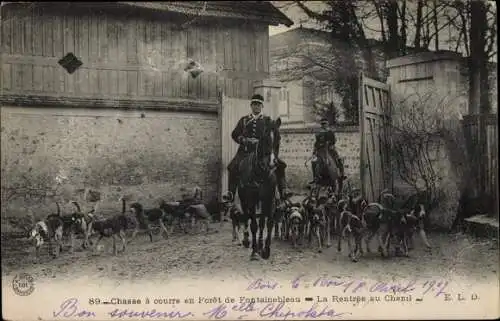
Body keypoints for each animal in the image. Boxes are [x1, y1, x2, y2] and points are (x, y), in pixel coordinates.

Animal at [238, 116, 282, 258]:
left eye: (279, 138)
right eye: (265, 138)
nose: (273, 163)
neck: (261, 172)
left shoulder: (268, 198)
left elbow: (266, 223)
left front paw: (264, 247)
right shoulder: (252, 199)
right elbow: (254, 225)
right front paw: (255, 249)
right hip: (243, 198)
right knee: (246, 216)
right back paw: (247, 240)